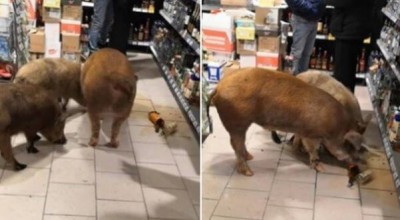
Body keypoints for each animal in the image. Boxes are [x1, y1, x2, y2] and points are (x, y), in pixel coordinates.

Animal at [211, 67, 364, 182]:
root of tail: (218, 86)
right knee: (236, 145)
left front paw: (298, 150)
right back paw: (249, 172)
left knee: (239, 144)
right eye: (348, 144)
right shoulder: (311, 134)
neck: (335, 126)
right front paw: (321, 168)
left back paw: (251, 157)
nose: (358, 160)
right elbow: (313, 149)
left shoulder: (303, 132)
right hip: (236, 122)